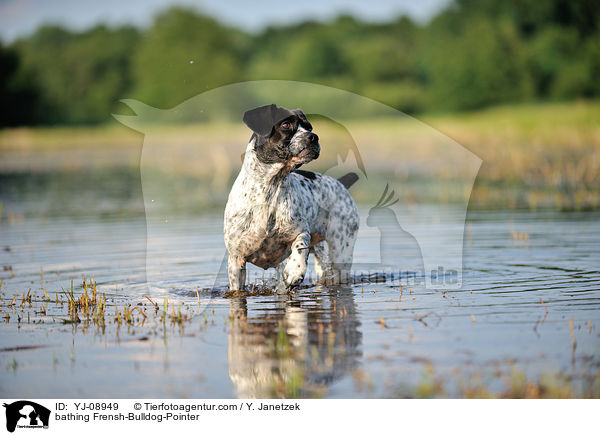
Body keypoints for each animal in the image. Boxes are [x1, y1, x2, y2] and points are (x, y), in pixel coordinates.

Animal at [224, 103, 356, 292]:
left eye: (309, 127)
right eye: (286, 125)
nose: (313, 137)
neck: (269, 189)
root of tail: (340, 182)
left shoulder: (301, 232)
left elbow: (300, 247)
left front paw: (294, 271)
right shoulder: (236, 260)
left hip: (341, 253)